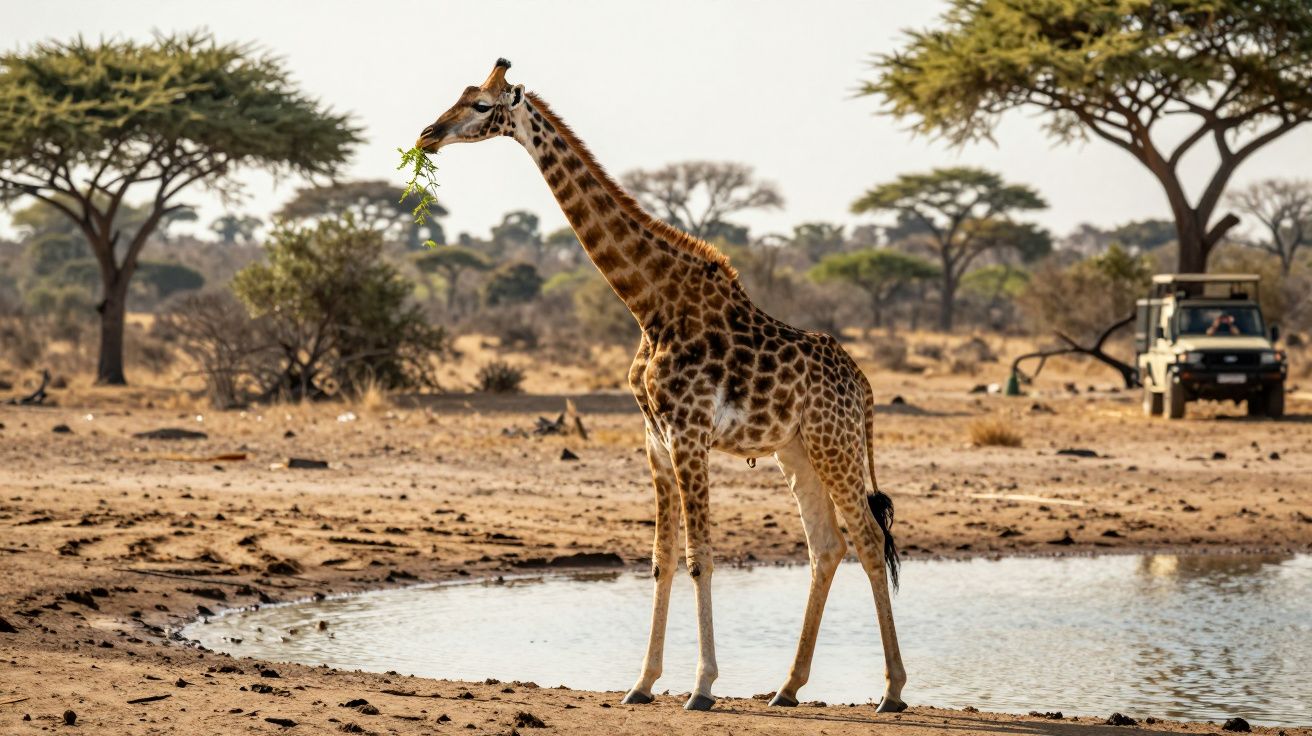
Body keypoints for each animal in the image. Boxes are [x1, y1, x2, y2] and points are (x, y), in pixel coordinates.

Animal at [415, 59, 907, 714]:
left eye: (479, 106)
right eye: (461, 94)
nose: (426, 135)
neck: (650, 304)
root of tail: (867, 388)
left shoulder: (689, 432)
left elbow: (700, 557)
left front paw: (701, 687)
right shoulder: (654, 436)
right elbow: (660, 559)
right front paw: (642, 683)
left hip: (836, 445)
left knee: (870, 541)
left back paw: (892, 691)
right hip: (795, 449)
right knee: (826, 545)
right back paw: (786, 687)